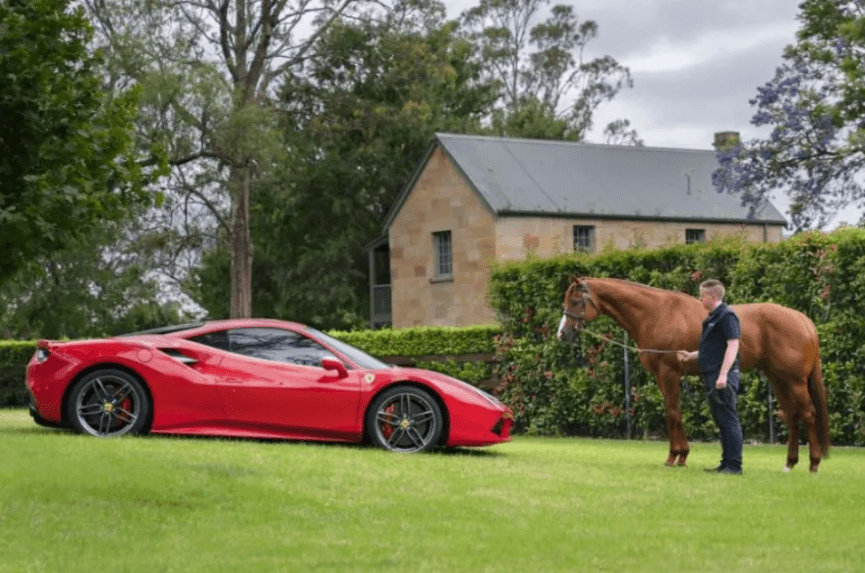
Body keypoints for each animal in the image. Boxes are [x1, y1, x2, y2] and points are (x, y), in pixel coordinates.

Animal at [556, 276, 828, 470]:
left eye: (576, 301)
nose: (562, 334)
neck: (656, 313)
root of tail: (803, 320)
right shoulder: (662, 375)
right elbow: (672, 411)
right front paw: (679, 455)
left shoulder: (669, 373)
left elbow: (672, 412)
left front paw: (676, 456)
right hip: (778, 379)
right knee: (792, 416)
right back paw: (790, 462)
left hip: (794, 381)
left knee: (808, 413)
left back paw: (813, 463)